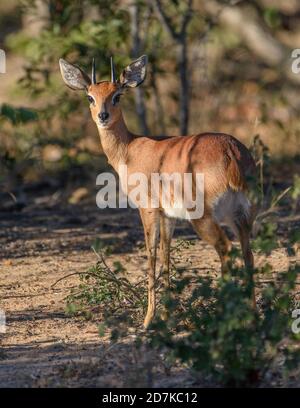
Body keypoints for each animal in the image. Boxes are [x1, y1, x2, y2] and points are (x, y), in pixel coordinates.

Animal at [59, 54, 256, 328]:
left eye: (117, 95)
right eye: (90, 96)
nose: (103, 115)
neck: (129, 150)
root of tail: (231, 153)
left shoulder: (148, 209)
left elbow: (150, 255)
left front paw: (148, 319)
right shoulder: (168, 215)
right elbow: (166, 255)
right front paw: (166, 315)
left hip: (205, 218)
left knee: (226, 249)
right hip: (242, 217)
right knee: (249, 254)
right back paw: (254, 316)